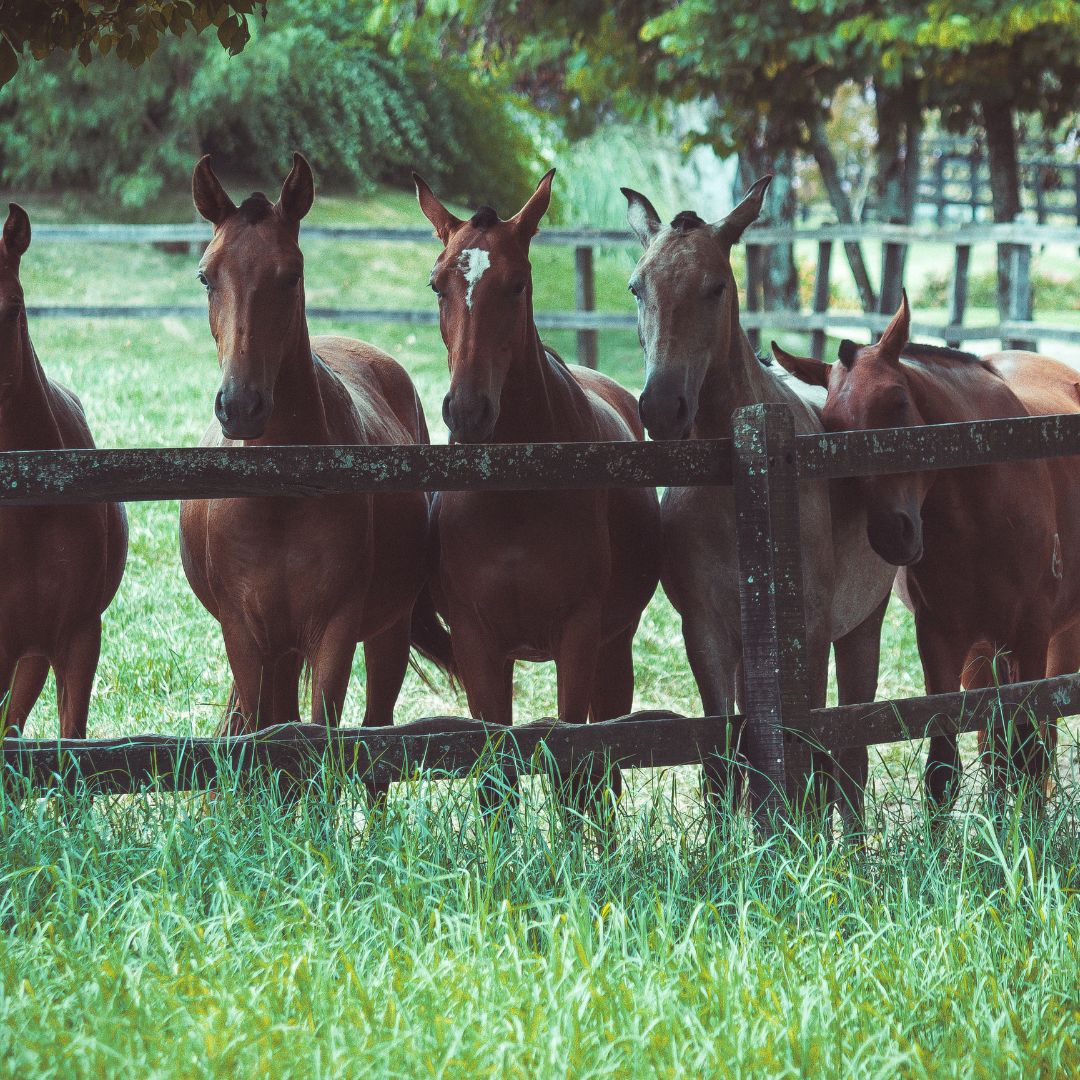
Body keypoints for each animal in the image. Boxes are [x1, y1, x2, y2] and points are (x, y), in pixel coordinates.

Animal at [180, 154, 454, 744]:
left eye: (292, 274)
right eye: (206, 276)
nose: (240, 405)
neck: (283, 492)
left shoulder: (335, 632)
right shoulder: (247, 638)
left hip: (388, 631)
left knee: (378, 725)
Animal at [412, 169, 662, 810]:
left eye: (518, 284)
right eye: (437, 285)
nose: (467, 411)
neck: (515, 495)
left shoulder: (579, 635)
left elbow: (576, 770)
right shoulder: (477, 644)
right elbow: (494, 778)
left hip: (613, 648)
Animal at [621, 179, 895, 828]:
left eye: (716, 286)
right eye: (637, 287)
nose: (661, 408)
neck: (737, 488)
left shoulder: (810, 633)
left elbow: (809, 757)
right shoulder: (707, 631)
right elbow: (723, 758)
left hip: (861, 627)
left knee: (851, 754)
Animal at [772, 293, 1080, 806]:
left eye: (898, 402)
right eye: (831, 428)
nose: (890, 534)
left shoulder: (1031, 636)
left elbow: (1029, 756)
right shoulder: (941, 640)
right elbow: (944, 769)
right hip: (983, 652)